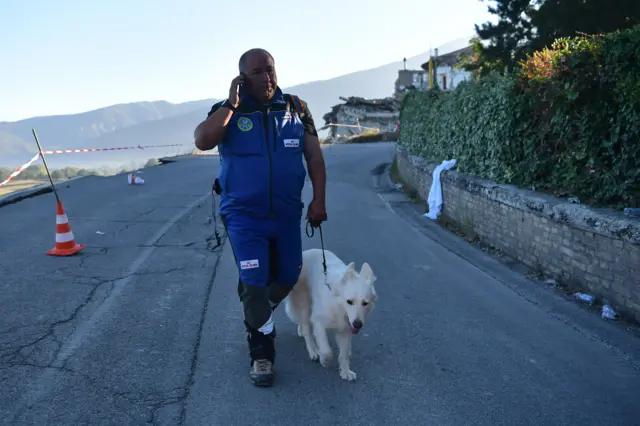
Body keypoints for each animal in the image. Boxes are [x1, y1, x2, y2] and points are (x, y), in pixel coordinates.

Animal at [284, 248, 378, 382]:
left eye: (365, 303)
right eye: (349, 301)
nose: (357, 324)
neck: (338, 307)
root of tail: (305, 252)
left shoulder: (345, 330)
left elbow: (343, 354)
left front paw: (345, 371)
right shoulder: (319, 323)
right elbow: (327, 350)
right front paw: (324, 360)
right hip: (305, 306)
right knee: (307, 330)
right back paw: (313, 351)